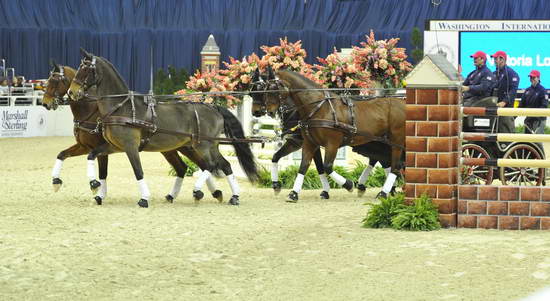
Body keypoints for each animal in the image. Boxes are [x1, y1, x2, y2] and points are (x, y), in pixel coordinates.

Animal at [41, 62, 226, 204]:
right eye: (47, 81)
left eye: (55, 81)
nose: (45, 103)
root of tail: (212, 108)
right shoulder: (87, 146)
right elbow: (62, 154)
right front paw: (57, 181)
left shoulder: (106, 147)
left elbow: (104, 172)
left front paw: (96, 188)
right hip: (175, 148)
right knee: (189, 167)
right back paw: (203, 193)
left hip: (195, 147)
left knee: (210, 165)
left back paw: (209, 192)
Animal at [67, 49, 260, 207]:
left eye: (85, 69)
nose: (71, 92)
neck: (121, 107)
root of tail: (214, 108)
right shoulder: (114, 146)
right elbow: (91, 155)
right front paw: (94, 185)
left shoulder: (130, 146)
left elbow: (138, 171)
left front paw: (144, 199)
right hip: (205, 146)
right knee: (223, 165)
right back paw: (233, 197)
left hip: (204, 146)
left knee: (211, 165)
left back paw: (199, 191)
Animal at [251, 69, 406, 202]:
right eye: (261, 90)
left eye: (273, 89)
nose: (265, 111)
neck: (318, 108)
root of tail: (402, 102)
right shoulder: (309, 143)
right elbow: (303, 165)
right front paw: (293, 193)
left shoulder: (330, 144)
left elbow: (326, 167)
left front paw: (348, 184)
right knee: (382, 161)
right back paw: (381, 189)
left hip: (396, 140)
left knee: (394, 165)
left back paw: (384, 192)